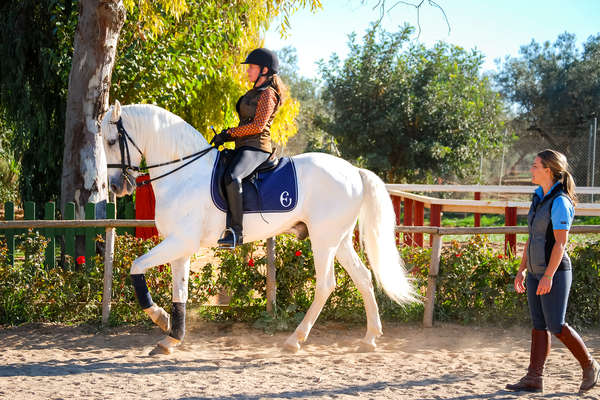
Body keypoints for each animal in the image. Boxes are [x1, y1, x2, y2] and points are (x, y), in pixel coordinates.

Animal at [99, 101, 418, 354]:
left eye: (113, 141)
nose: (115, 187)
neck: (184, 174)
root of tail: (354, 171)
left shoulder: (180, 242)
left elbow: (136, 267)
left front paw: (159, 318)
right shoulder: (180, 248)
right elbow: (180, 293)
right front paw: (171, 335)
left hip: (323, 240)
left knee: (326, 284)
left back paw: (295, 340)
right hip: (338, 240)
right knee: (363, 278)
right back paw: (369, 338)